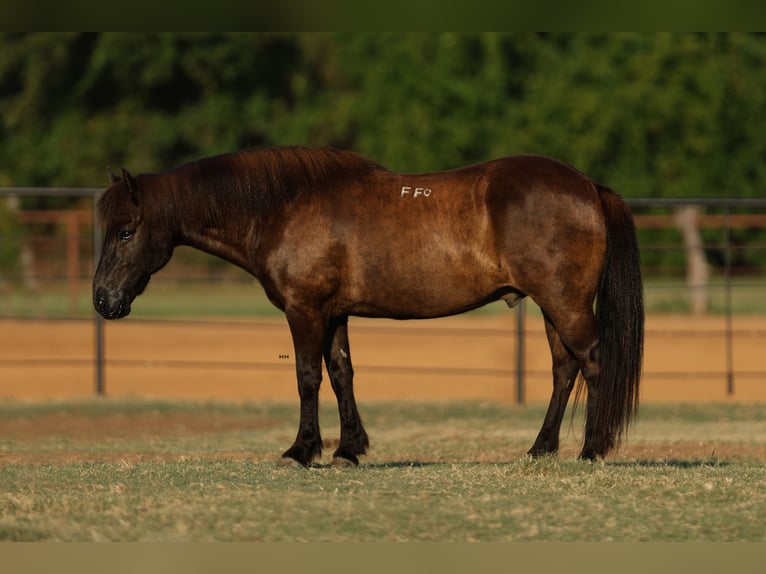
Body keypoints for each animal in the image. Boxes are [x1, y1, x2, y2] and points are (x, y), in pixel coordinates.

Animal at [93, 147, 644, 468]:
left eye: (126, 231)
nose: (103, 299)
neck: (285, 206)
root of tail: (588, 187)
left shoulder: (305, 311)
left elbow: (307, 377)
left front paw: (301, 451)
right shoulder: (334, 313)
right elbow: (342, 374)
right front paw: (348, 450)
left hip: (566, 304)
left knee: (593, 363)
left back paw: (592, 450)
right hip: (552, 307)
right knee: (563, 369)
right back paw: (540, 448)